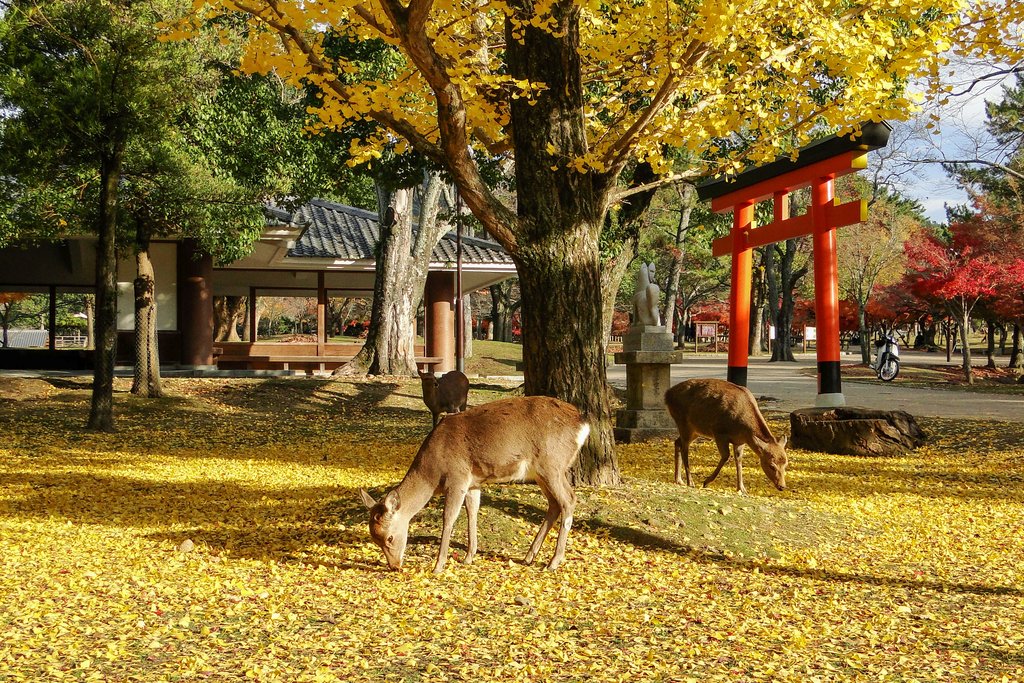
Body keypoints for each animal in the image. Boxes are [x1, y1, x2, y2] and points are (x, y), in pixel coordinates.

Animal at [360, 397, 589, 573]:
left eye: (389, 537)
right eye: (375, 539)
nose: (394, 566)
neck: (432, 472)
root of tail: (583, 424)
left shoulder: (457, 478)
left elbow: (449, 518)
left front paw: (438, 566)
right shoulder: (473, 483)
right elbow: (473, 511)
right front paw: (468, 557)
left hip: (552, 465)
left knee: (569, 500)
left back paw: (553, 562)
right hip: (541, 472)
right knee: (554, 504)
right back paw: (528, 557)